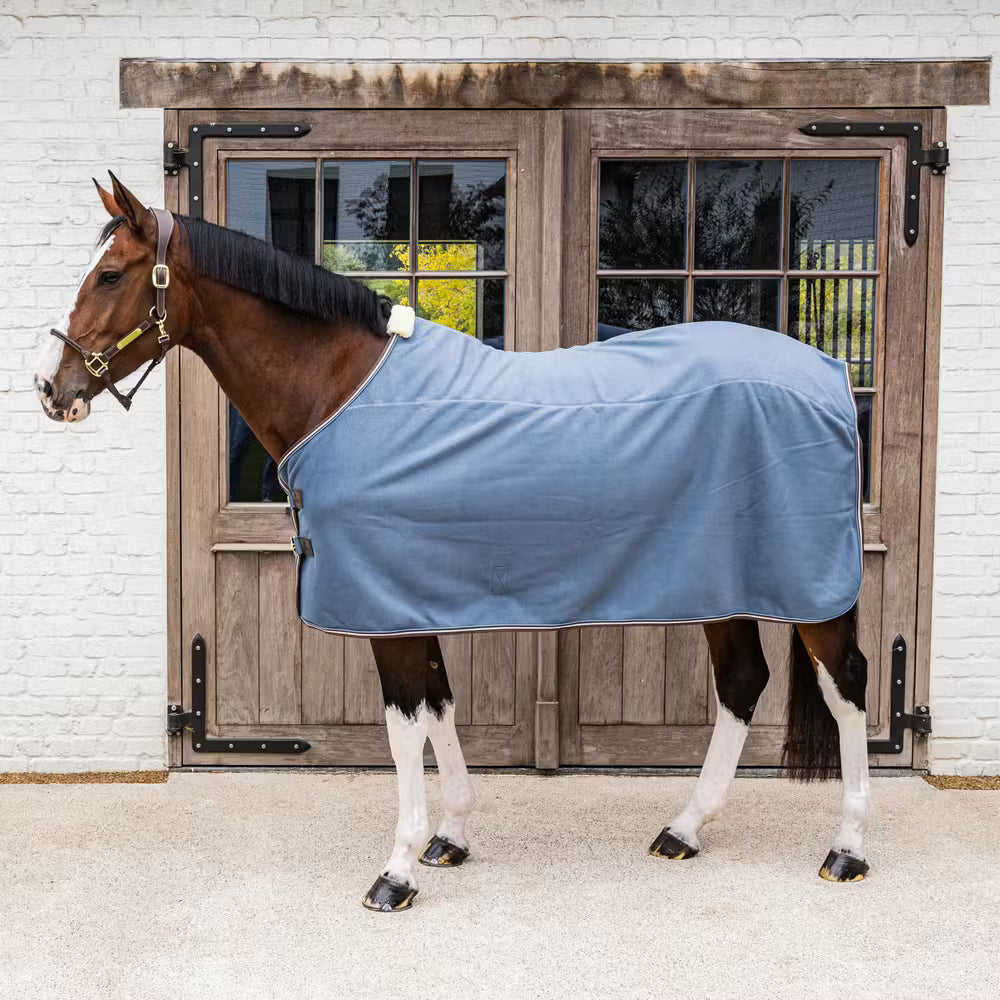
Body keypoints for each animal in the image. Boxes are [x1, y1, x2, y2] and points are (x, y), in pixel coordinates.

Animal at [35, 174, 872, 912]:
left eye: (109, 274)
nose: (51, 388)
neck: (341, 389)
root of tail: (827, 371)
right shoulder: (409, 599)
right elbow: (438, 706)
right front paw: (452, 837)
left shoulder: (384, 608)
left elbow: (406, 727)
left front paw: (397, 872)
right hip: (721, 584)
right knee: (741, 683)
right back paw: (685, 830)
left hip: (811, 594)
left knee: (847, 685)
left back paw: (847, 850)